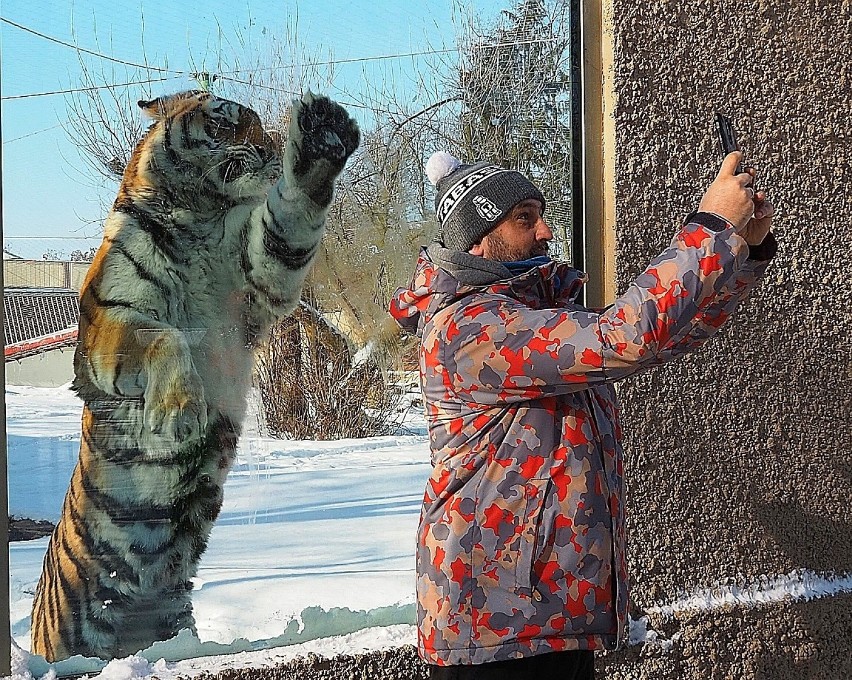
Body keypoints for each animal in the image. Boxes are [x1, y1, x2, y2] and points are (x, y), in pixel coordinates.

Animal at [30, 87, 360, 660]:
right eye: (227, 123)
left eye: (263, 127)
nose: (270, 149)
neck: (199, 215)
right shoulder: (109, 321)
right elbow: (168, 336)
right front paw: (180, 414)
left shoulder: (259, 277)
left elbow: (288, 218)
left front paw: (321, 137)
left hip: (171, 615)